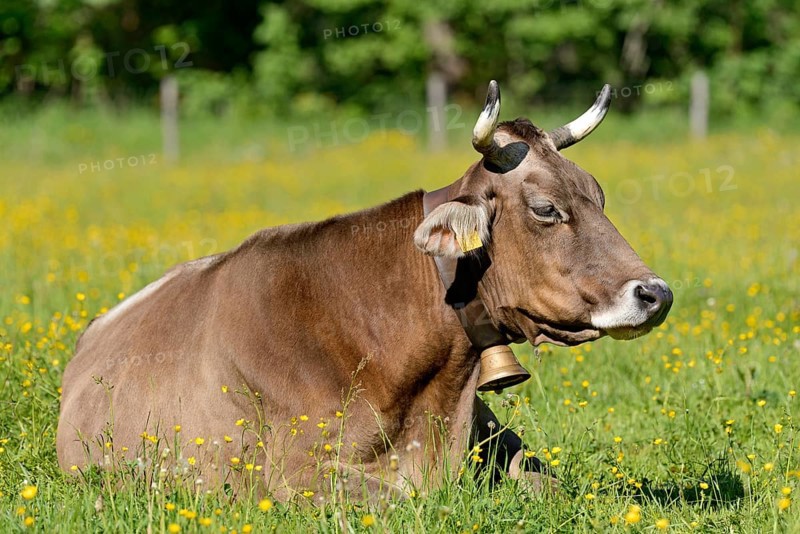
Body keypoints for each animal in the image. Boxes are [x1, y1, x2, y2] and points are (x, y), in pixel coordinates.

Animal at [57, 81, 672, 501]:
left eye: (598, 194)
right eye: (546, 209)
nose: (656, 293)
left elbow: (551, 484)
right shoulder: (293, 474)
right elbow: (399, 498)